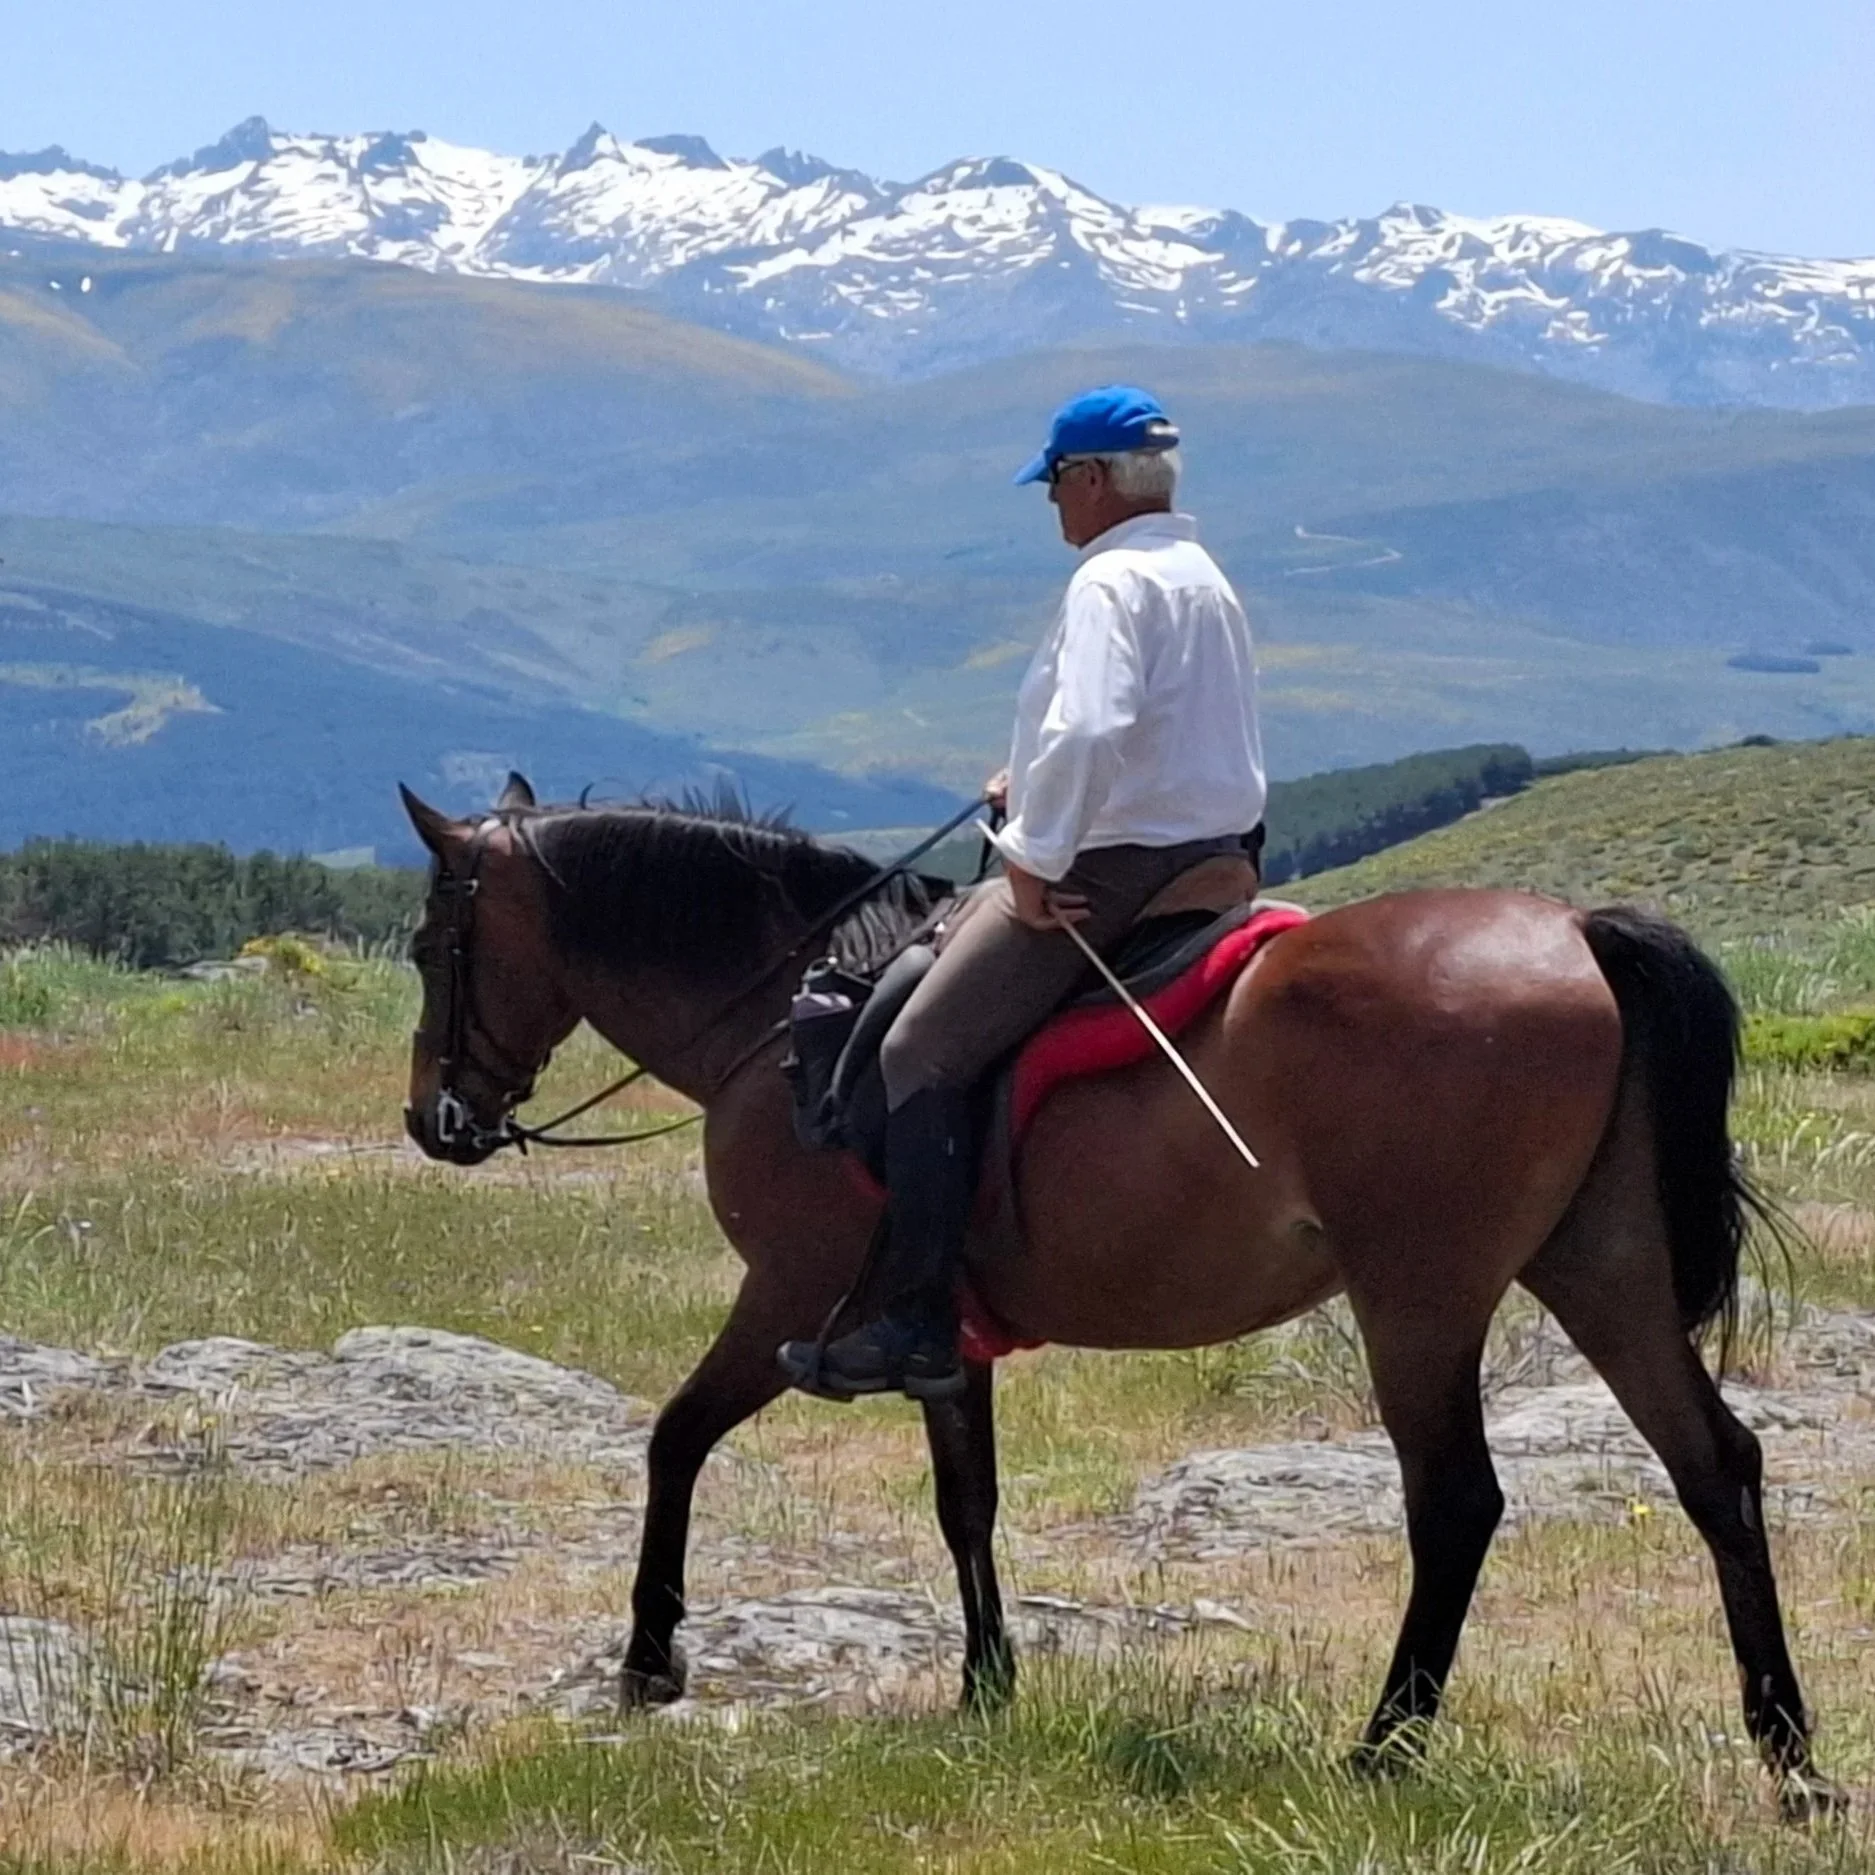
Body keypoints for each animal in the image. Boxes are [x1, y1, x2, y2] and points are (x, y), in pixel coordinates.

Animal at [397, 775, 1842, 1817]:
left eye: (430, 944)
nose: (434, 1121)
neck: (783, 1018)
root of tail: (1573, 935)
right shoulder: (936, 1335)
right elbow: (965, 1500)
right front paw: (986, 1682)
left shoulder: (785, 1297)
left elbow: (674, 1438)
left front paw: (651, 1655)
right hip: (1600, 1266)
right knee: (1713, 1465)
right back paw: (1790, 1756)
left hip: (1419, 1295)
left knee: (1458, 1503)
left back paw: (1383, 1747)